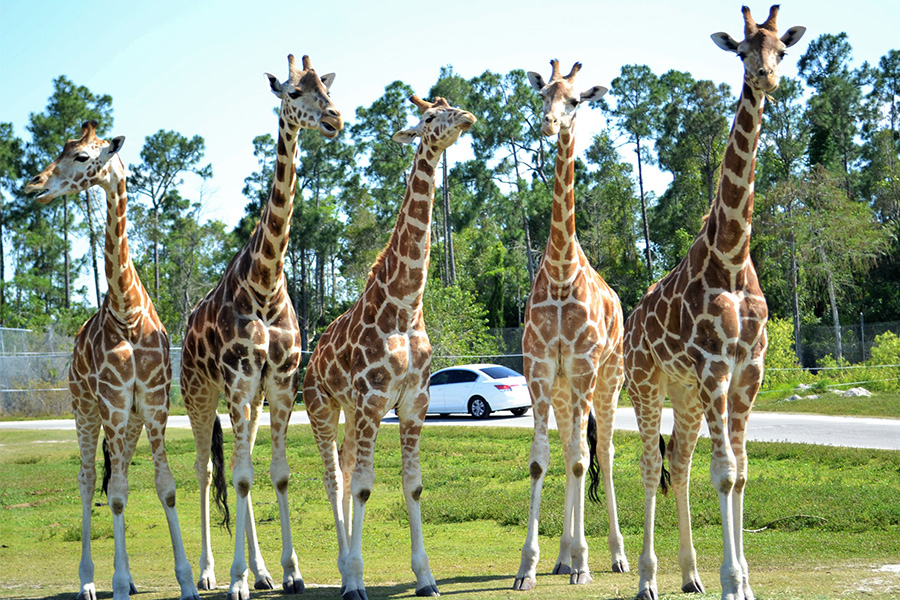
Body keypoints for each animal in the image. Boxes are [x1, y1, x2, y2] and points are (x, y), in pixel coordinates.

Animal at [25, 120, 198, 600]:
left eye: (82, 156)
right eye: (61, 150)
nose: (34, 186)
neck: (128, 312)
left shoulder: (153, 404)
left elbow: (165, 487)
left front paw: (187, 582)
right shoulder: (114, 403)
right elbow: (115, 494)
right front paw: (116, 583)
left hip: (128, 421)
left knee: (115, 474)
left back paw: (129, 579)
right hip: (85, 409)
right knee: (88, 482)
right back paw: (88, 580)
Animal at [179, 54, 342, 600]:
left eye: (326, 88)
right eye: (292, 93)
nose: (334, 119)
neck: (265, 282)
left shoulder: (281, 382)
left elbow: (276, 474)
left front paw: (289, 572)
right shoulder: (238, 380)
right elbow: (242, 477)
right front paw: (235, 581)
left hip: (246, 401)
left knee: (239, 462)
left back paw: (262, 571)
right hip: (200, 394)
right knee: (208, 469)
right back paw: (208, 571)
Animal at [302, 95, 475, 600]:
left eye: (450, 106)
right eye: (429, 117)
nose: (466, 117)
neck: (404, 305)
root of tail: (311, 359)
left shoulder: (414, 401)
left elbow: (412, 485)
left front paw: (426, 578)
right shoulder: (374, 399)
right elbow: (363, 486)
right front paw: (357, 582)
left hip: (349, 411)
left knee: (343, 470)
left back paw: (345, 568)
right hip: (322, 407)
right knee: (333, 478)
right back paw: (346, 571)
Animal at [622, 7, 805, 600]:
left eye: (782, 51)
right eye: (742, 51)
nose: (766, 78)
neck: (731, 254)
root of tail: (630, 323)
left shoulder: (749, 369)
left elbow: (741, 471)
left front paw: (741, 582)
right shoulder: (713, 367)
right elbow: (723, 472)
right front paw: (733, 582)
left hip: (685, 395)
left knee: (678, 463)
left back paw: (690, 574)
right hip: (648, 383)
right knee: (649, 464)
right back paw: (647, 579)